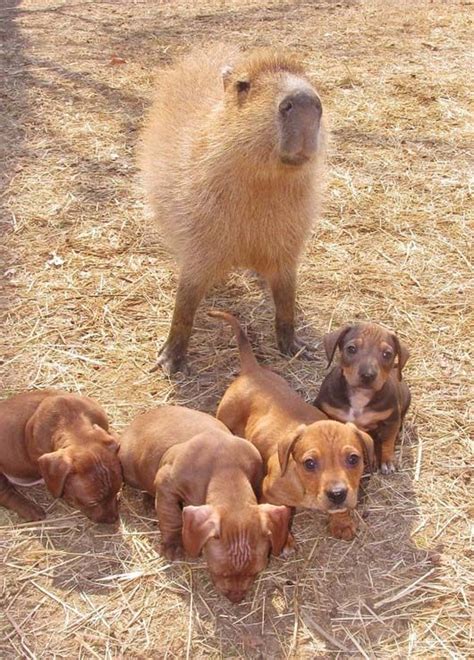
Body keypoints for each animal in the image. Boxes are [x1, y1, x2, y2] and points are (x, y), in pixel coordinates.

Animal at [119, 402, 288, 604]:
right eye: (220, 572)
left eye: (255, 572)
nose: (236, 599)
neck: (226, 469)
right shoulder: (166, 482)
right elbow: (171, 516)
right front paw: (173, 545)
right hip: (129, 468)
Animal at [210, 312, 374, 544]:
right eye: (309, 463)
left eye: (353, 459)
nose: (337, 494)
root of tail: (252, 370)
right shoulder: (270, 494)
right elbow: (275, 515)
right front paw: (284, 540)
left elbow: (342, 509)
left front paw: (342, 523)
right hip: (226, 416)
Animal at [312, 320, 410, 472]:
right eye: (351, 349)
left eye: (387, 354)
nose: (368, 375)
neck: (360, 395)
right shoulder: (322, 407)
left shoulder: (391, 419)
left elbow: (387, 441)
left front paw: (387, 460)